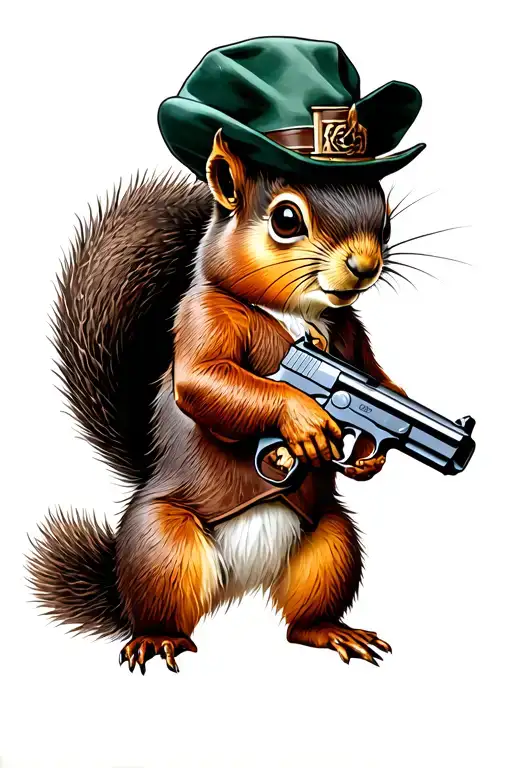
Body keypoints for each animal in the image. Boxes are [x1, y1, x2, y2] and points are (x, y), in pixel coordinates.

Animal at [28, 36, 425, 674]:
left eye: (384, 213)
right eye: (286, 218)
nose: (366, 267)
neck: (298, 317)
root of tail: (238, 585)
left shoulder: (351, 331)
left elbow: (379, 377)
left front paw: (372, 452)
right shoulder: (202, 318)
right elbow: (205, 383)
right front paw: (306, 421)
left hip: (332, 543)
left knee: (304, 618)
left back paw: (332, 632)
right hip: (164, 547)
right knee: (163, 602)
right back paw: (157, 639)